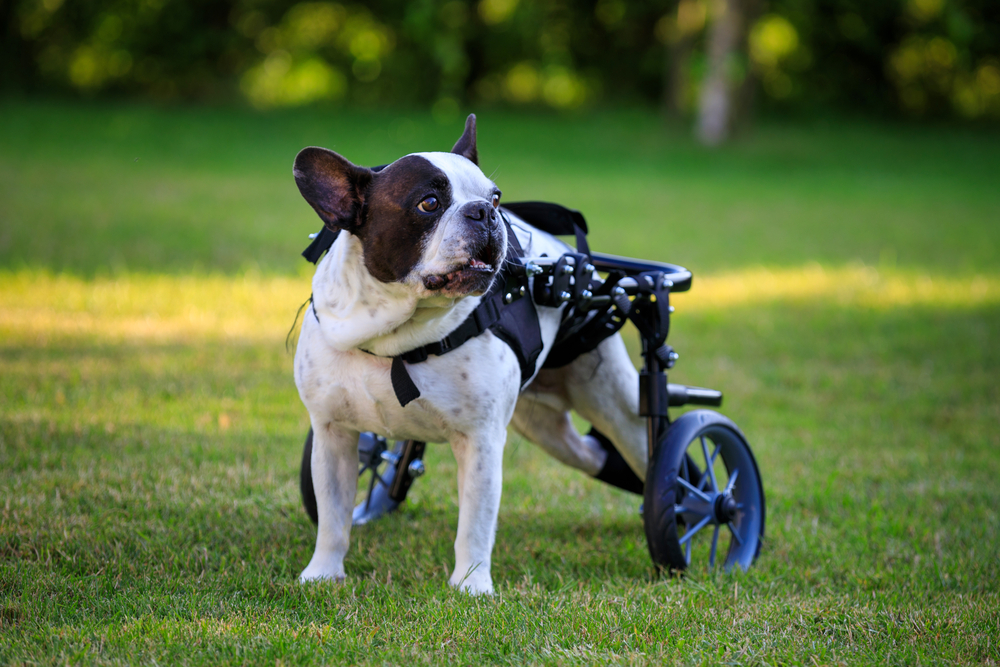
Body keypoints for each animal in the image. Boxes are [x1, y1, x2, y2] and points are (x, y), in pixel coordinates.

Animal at [292, 115, 648, 596]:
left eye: (495, 197)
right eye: (428, 203)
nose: (486, 211)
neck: (393, 338)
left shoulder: (481, 442)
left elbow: (475, 524)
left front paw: (472, 585)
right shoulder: (332, 434)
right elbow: (332, 516)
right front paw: (322, 573)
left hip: (616, 402)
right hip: (543, 424)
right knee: (590, 453)